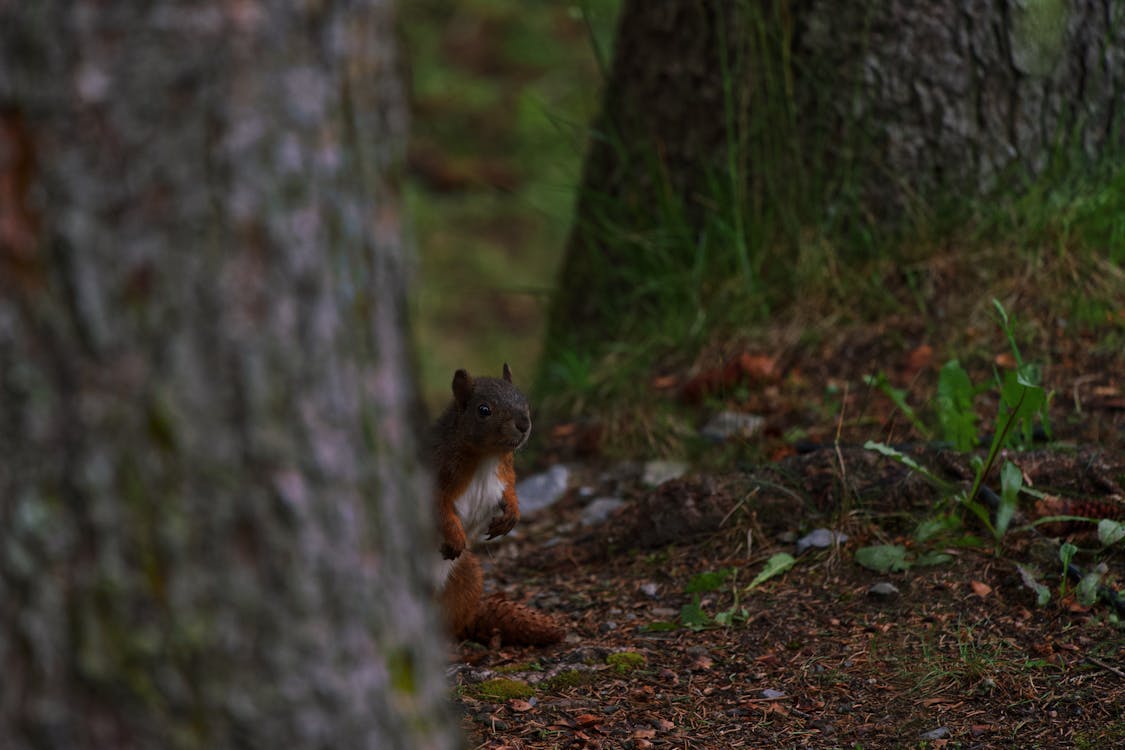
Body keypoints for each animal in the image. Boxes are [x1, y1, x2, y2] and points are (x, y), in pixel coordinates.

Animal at [434, 364, 567, 647]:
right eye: (483, 410)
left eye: (524, 400)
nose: (524, 424)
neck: (488, 457)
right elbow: (439, 508)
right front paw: (456, 536)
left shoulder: (504, 475)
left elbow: (512, 490)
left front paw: (512, 516)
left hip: (468, 578)